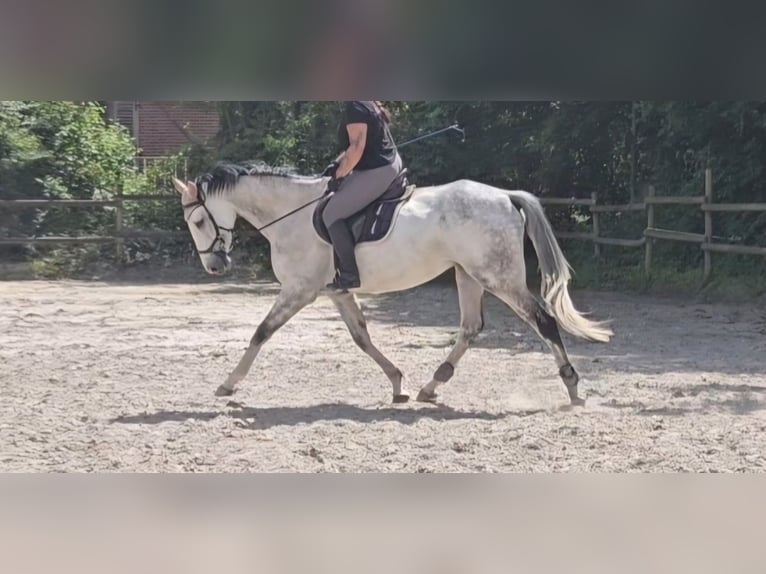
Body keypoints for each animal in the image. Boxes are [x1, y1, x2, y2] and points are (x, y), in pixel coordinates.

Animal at [171, 161, 616, 404]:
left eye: (198, 220)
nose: (215, 267)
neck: (291, 214)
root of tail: (506, 195)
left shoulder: (299, 290)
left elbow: (261, 333)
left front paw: (228, 384)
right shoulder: (337, 292)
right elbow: (362, 338)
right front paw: (397, 382)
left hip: (498, 276)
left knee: (543, 322)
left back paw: (573, 388)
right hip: (468, 274)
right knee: (470, 328)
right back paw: (431, 386)